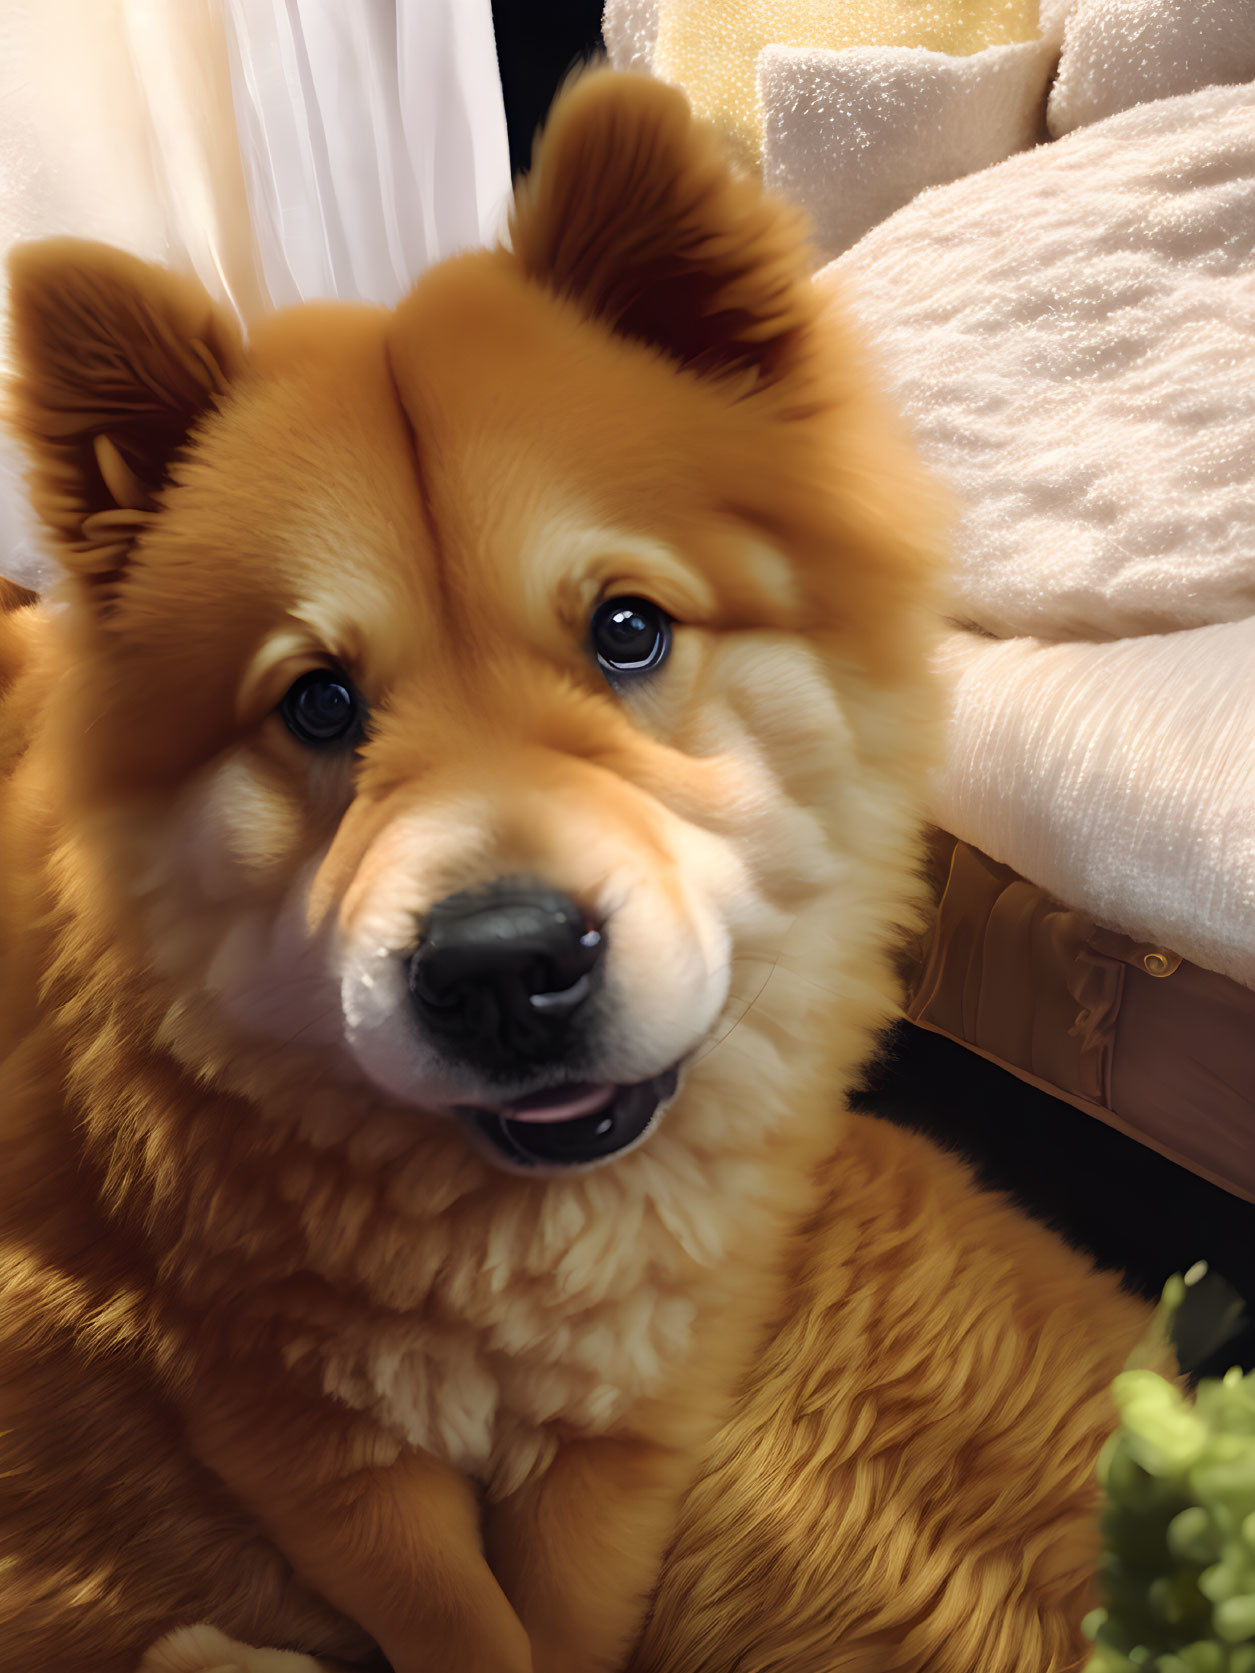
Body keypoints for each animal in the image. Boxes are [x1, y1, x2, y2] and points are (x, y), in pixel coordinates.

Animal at [0, 68, 1157, 1673]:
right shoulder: (309, 1439)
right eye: (317, 705)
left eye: (626, 628)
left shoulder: (633, 1427)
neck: (525, 1242)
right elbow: (461, 1625)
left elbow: (570, 1606)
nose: (501, 968)